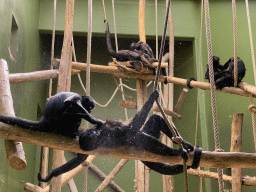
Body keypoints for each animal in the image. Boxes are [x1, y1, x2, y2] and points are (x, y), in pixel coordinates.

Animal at [38, 90, 202, 182]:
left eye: (91, 133)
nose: (93, 132)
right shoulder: (109, 137)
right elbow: (131, 131)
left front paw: (51, 174)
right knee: (142, 138)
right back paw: (180, 150)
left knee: (156, 119)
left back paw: (184, 143)